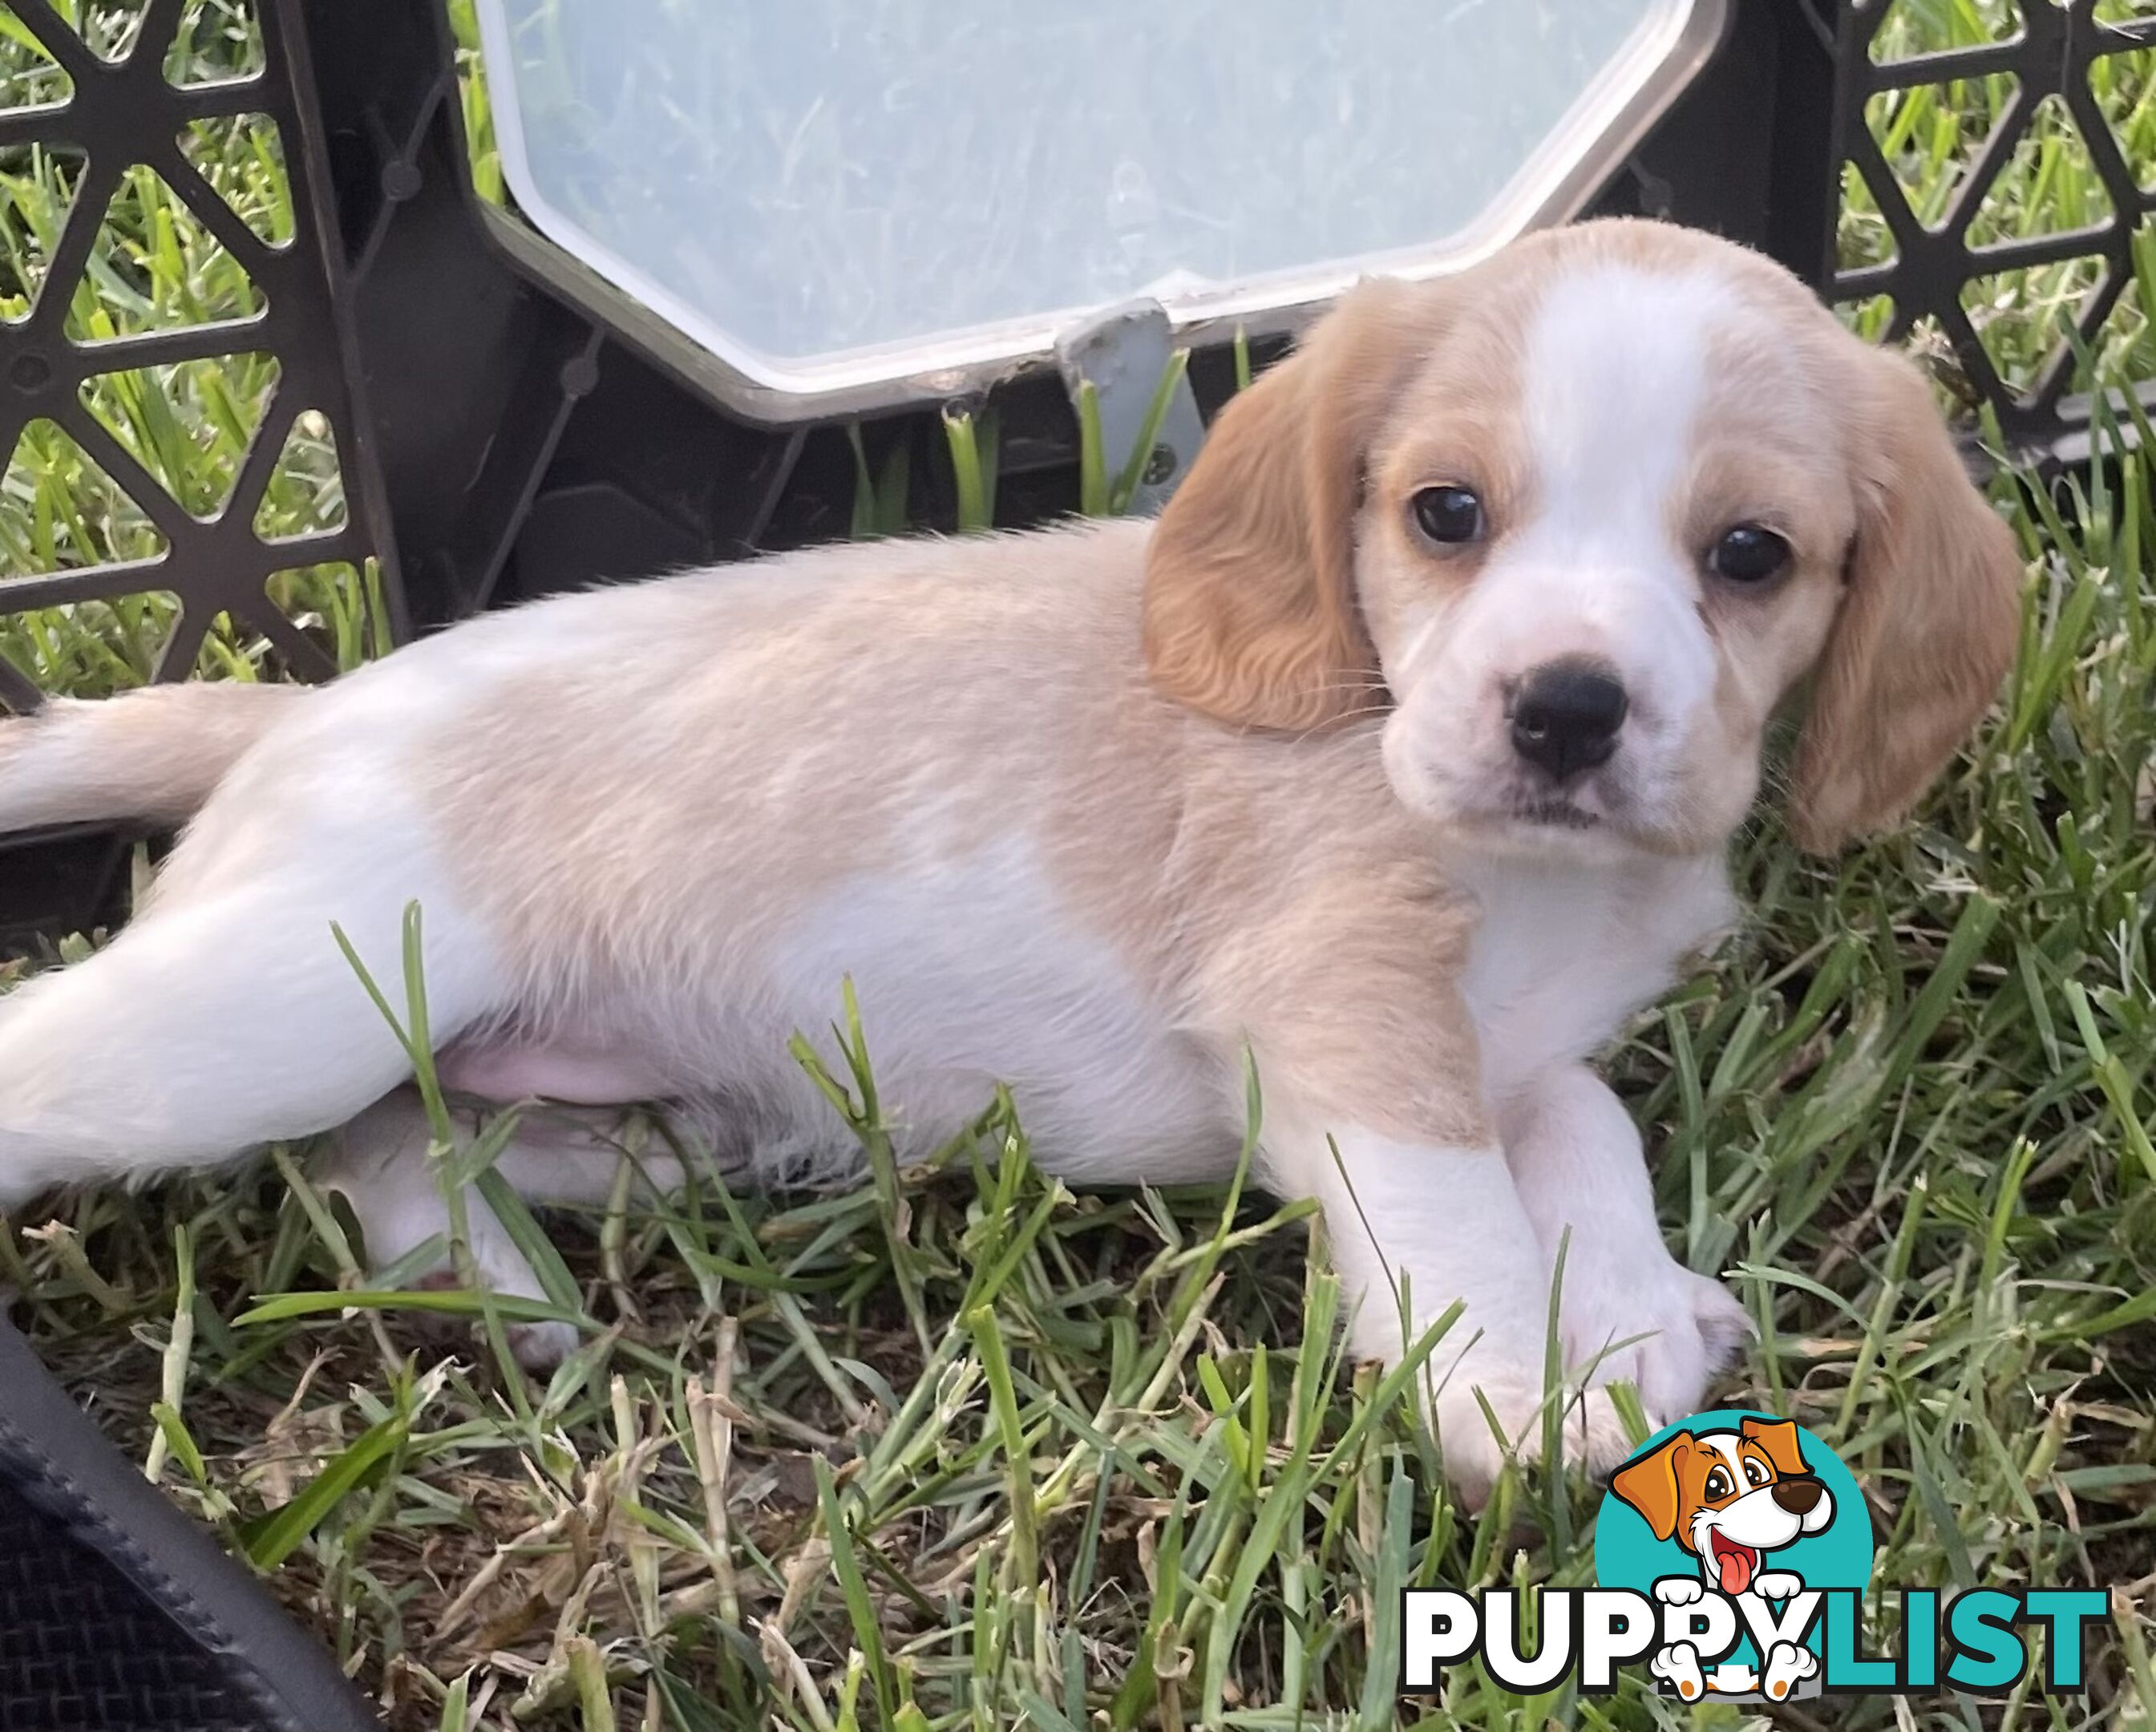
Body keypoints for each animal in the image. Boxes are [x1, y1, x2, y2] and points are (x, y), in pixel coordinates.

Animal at [0, 220, 2017, 1501]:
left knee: (382, 1143)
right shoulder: (1347, 1014)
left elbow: (1586, 1128)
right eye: (1445, 512)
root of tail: (294, 716)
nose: (1569, 710)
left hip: (535, 1079)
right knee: (97, 1079)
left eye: (1750, 555)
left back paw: (489, 1274)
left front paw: (1632, 1313)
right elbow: (1455, 1212)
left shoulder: (1514, 1047)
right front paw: (1516, 1401)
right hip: (267, 1011)